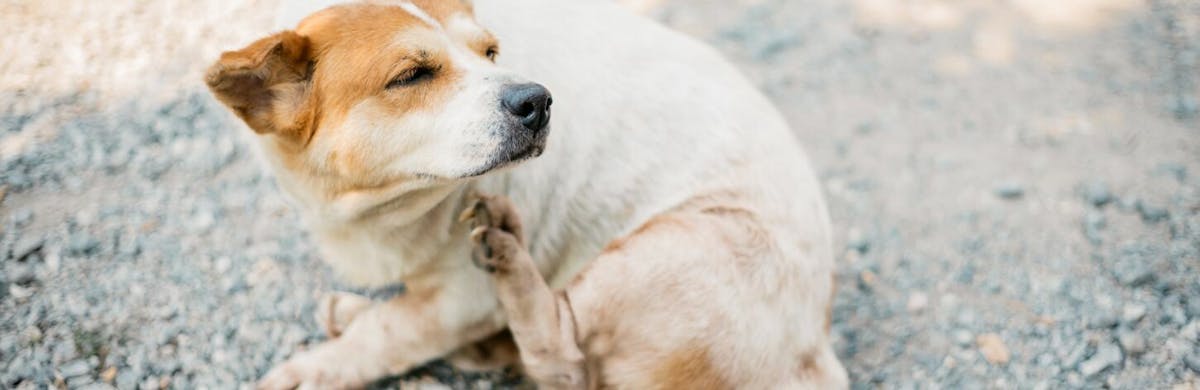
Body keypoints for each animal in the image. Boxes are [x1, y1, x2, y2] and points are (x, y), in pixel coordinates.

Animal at [206, 0, 844, 386]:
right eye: (411, 75)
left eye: (490, 52)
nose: (536, 100)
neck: (375, 205)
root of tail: (815, 354)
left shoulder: (463, 297)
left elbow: (393, 331)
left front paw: (320, 366)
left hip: (673, 249)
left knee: (562, 351)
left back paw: (510, 254)